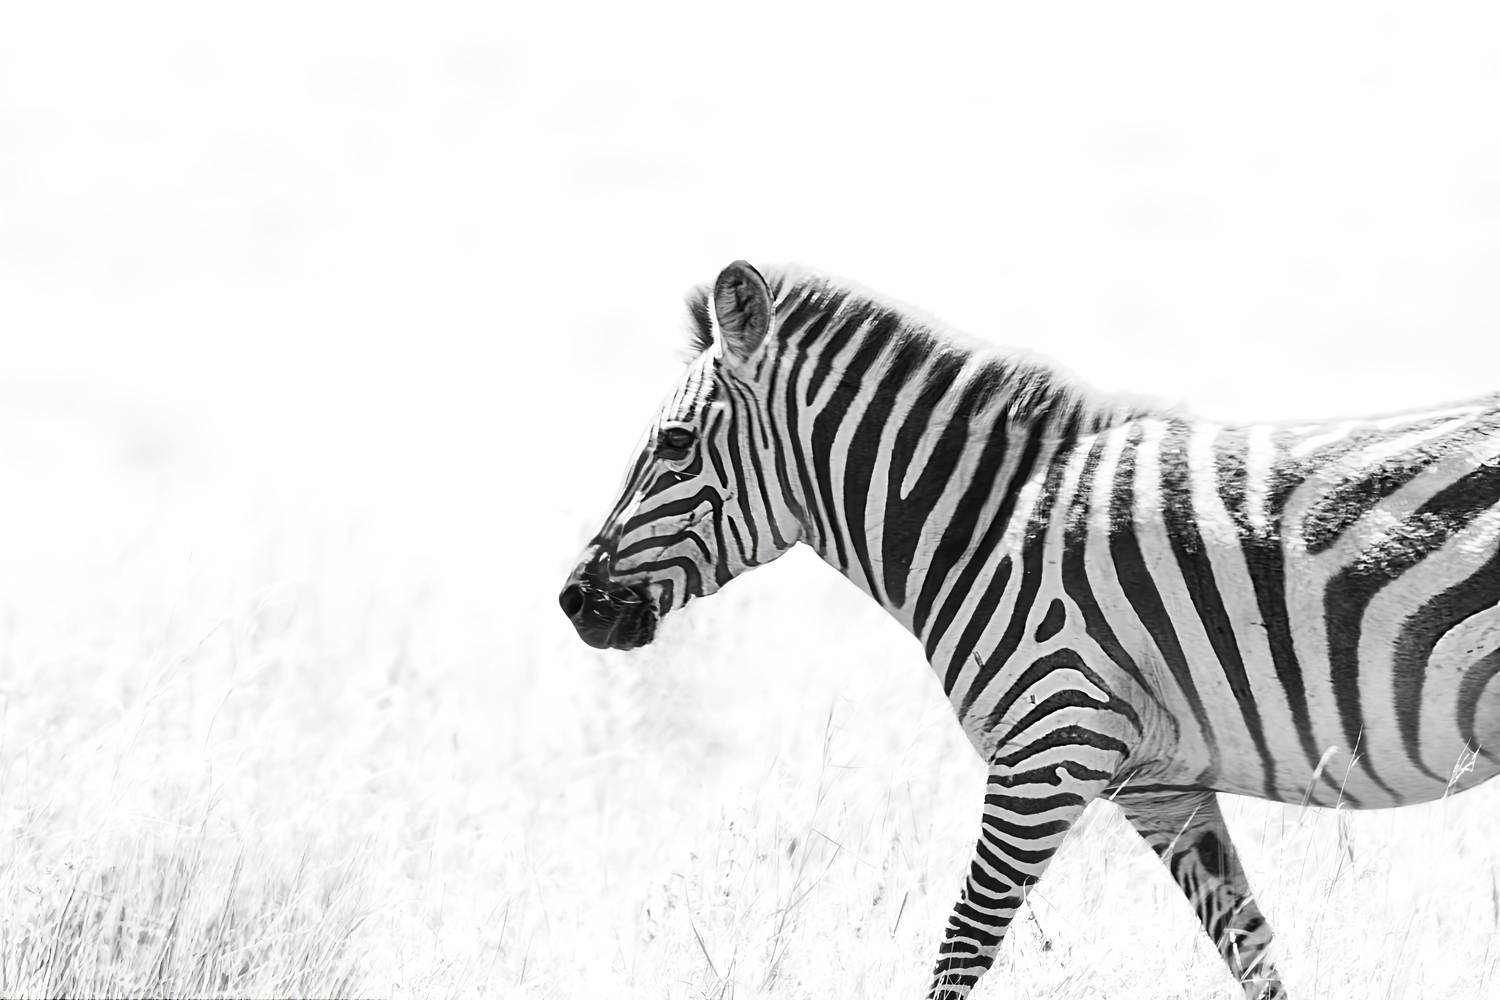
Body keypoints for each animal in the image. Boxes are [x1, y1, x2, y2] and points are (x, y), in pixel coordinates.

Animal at [558, 260, 1500, 999]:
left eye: (675, 445)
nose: (576, 602)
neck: (984, 526)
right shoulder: (1161, 786)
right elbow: (1248, 948)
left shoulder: (1049, 747)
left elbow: (962, 945)